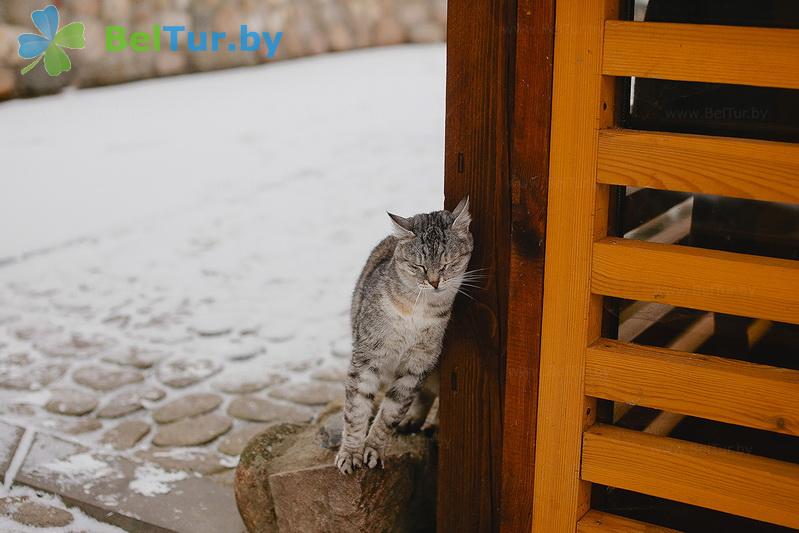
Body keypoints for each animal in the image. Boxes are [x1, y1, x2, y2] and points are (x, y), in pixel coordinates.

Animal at [338, 196, 476, 474]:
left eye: (448, 264)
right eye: (418, 266)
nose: (434, 282)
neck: (418, 309)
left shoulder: (418, 364)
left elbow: (391, 411)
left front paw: (373, 448)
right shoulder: (367, 357)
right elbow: (356, 408)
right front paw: (350, 453)